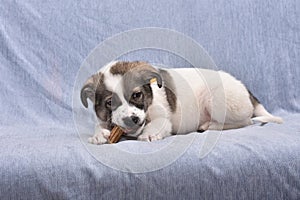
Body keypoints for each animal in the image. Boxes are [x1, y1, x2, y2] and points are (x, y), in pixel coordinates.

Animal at [81, 61, 282, 144]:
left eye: (137, 95)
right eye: (109, 103)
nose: (133, 120)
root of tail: (245, 89)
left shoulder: (163, 119)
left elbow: (156, 125)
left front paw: (149, 134)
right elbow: (99, 125)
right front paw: (98, 135)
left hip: (216, 99)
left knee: (245, 121)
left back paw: (210, 125)